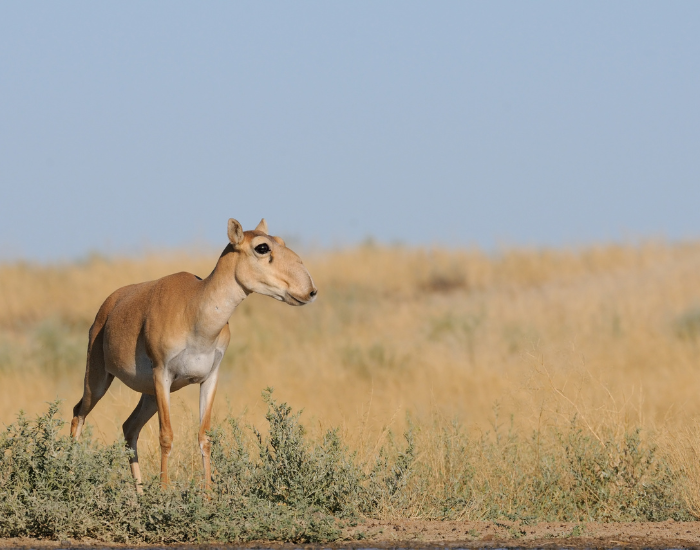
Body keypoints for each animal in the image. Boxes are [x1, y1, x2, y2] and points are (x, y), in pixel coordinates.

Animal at [70, 218, 317, 491]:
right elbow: (166, 436)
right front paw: (165, 493)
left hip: (149, 396)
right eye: (262, 247)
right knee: (78, 414)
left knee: (129, 427)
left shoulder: (209, 379)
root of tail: (109, 306)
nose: (309, 290)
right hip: (99, 381)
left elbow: (204, 436)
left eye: (281, 241)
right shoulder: (162, 375)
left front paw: (208, 495)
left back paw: (140, 494)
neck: (195, 310)